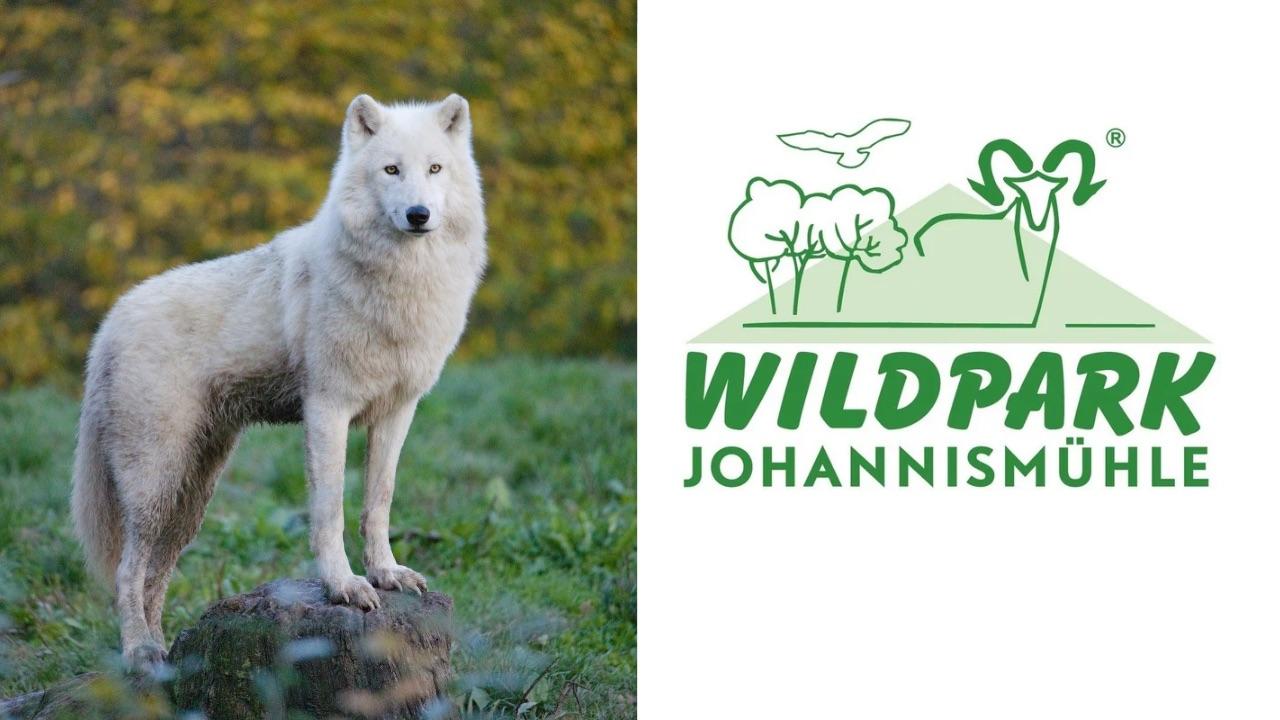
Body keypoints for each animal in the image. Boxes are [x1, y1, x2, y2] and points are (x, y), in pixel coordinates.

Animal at [70, 93, 487, 668]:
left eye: (435, 169)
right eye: (391, 170)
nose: (418, 215)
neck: (402, 284)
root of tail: (109, 324)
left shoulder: (397, 412)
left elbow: (378, 501)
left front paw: (385, 574)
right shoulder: (328, 409)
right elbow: (330, 510)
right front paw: (345, 587)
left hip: (190, 496)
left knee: (156, 576)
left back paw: (163, 654)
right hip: (156, 484)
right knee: (127, 572)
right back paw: (141, 652)